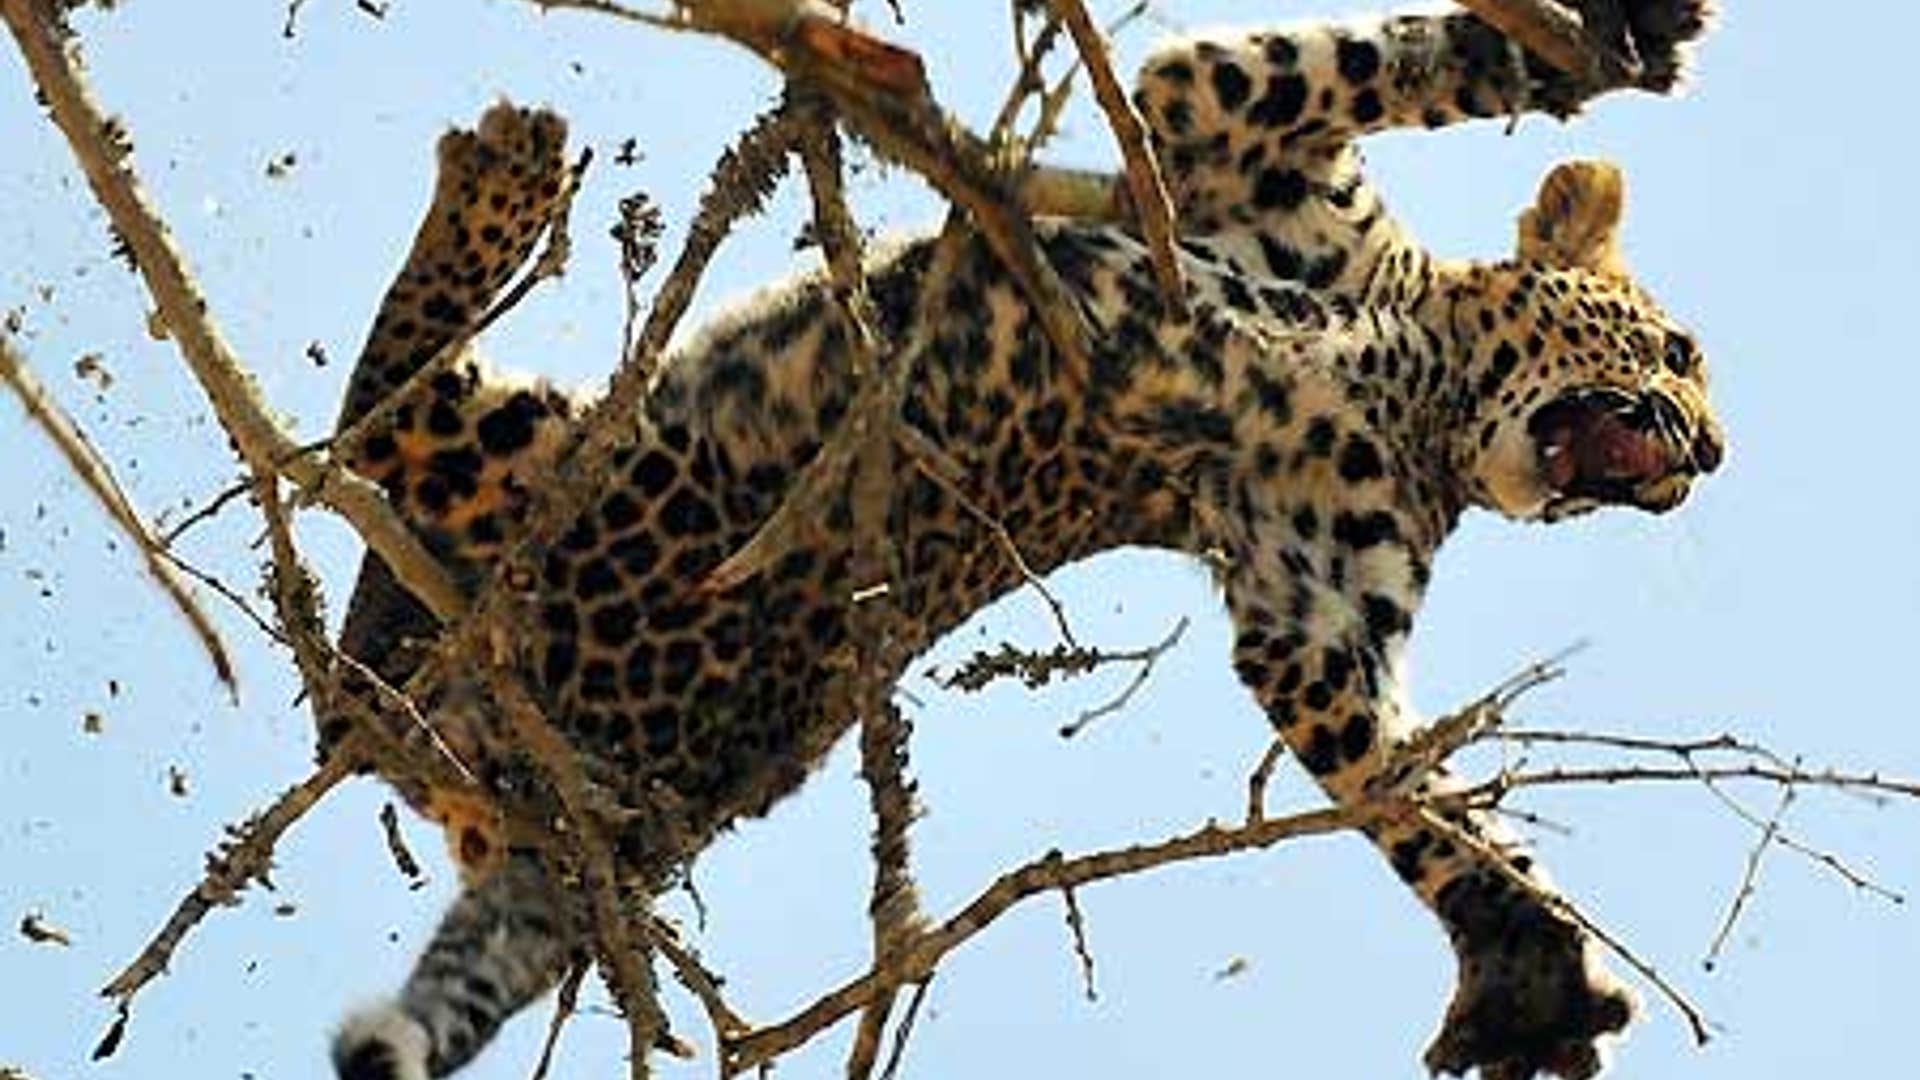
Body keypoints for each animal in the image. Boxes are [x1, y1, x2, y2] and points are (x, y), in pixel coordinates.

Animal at [323, 3, 1722, 1078]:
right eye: (1679, 349)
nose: (1708, 457)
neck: (1424, 391)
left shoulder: (1312, 616)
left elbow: (1421, 806)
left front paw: (1522, 965)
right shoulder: (1212, 131)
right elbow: (1386, 60)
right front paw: (1618, 34)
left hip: (552, 489)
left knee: (383, 434)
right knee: (368, 421)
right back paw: (502, 185)